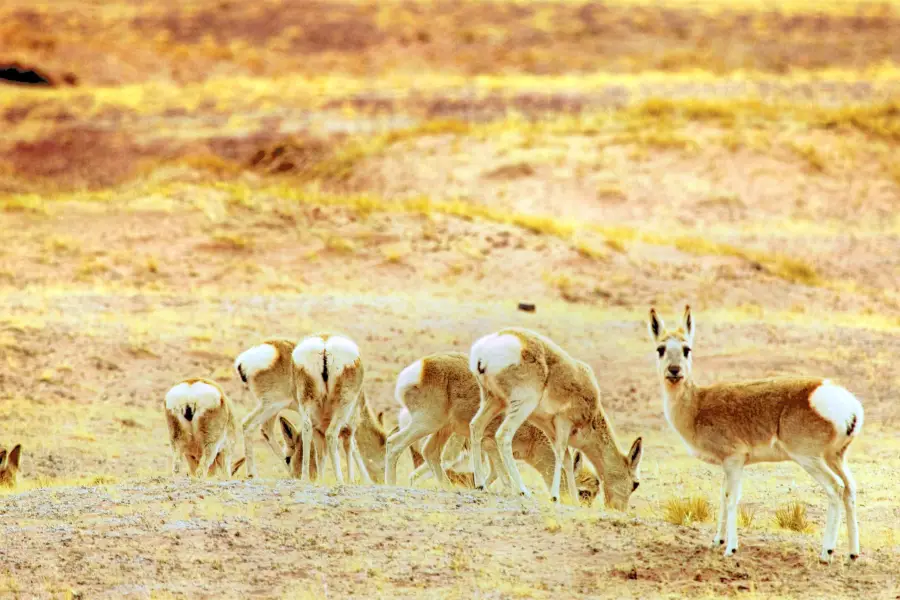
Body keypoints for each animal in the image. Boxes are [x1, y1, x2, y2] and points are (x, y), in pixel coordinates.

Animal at [384, 352, 604, 506]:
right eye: (585, 491)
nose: (578, 505)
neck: (535, 433)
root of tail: (418, 369)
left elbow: (495, 474)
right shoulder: (490, 442)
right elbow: (502, 475)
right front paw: (516, 492)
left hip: (442, 429)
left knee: (430, 453)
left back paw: (447, 488)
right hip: (427, 424)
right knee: (394, 443)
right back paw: (391, 484)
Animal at [468, 330, 644, 508]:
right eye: (636, 484)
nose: (619, 509)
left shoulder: (550, 428)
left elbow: (567, 460)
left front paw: (574, 500)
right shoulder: (563, 423)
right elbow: (560, 453)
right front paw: (554, 497)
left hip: (494, 401)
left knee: (476, 426)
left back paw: (480, 484)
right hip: (521, 406)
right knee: (503, 435)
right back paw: (523, 491)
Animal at [652, 304, 860, 564]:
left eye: (686, 349)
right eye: (661, 349)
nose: (674, 371)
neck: (698, 404)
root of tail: (844, 401)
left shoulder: (734, 460)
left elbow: (732, 498)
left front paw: (731, 548)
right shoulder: (728, 464)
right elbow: (723, 497)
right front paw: (717, 541)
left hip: (810, 460)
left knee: (835, 488)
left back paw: (826, 553)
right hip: (836, 458)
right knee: (850, 489)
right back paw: (852, 554)